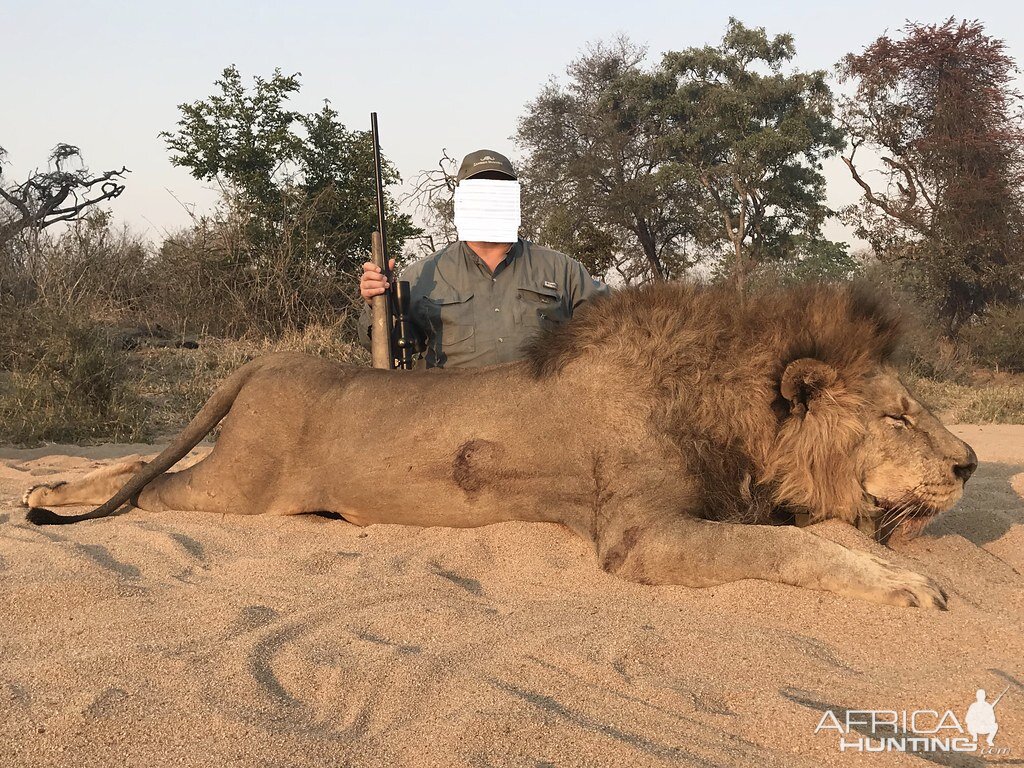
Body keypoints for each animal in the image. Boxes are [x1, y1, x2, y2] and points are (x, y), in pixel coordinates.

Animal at [22, 280, 974, 610]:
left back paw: (43, 491)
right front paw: (904, 587)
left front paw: (911, 572)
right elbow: (799, 551)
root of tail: (265, 361)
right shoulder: (641, 538)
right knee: (152, 489)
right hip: (238, 488)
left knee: (136, 463)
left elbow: (836, 534)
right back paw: (52, 500)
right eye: (897, 416)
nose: (967, 465)